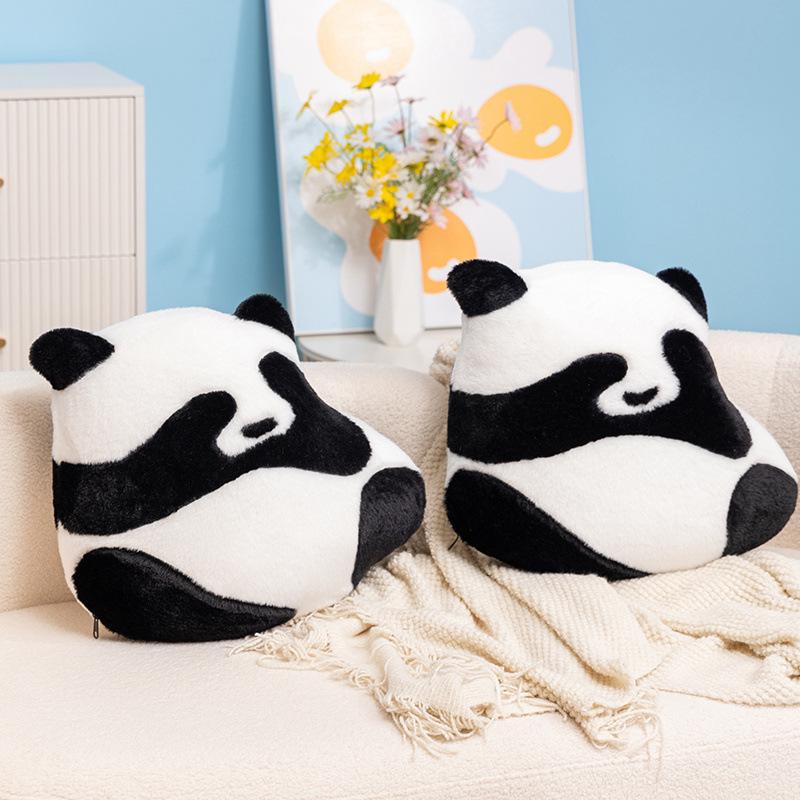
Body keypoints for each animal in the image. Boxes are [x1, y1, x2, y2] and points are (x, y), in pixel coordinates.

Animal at [30, 294, 425, 641]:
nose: (262, 425)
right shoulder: (98, 475)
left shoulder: (322, 424)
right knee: (124, 581)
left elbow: (342, 443)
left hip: (376, 500)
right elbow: (120, 500)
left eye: (275, 376)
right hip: (152, 576)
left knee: (397, 490)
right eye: (207, 404)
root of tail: (315, 594)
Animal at [444, 259, 797, 580]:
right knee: (489, 505)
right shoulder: (491, 412)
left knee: (772, 488)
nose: (643, 394)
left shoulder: (706, 401)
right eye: (605, 363)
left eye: (669, 355)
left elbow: (724, 422)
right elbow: (511, 429)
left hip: (759, 480)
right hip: (526, 515)